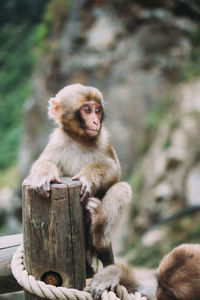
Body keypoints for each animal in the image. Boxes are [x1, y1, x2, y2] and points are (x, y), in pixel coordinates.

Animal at [24, 82, 132, 268]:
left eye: (98, 110)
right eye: (87, 110)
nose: (95, 121)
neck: (79, 138)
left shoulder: (103, 140)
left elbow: (114, 169)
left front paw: (87, 178)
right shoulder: (58, 141)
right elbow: (44, 162)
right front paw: (44, 177)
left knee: (122, 188)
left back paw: (98, 230)